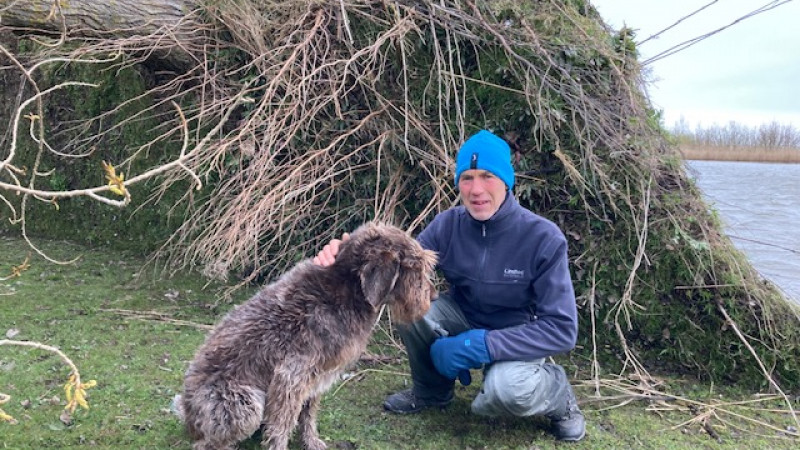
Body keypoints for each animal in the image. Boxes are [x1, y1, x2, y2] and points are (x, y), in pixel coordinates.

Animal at [174, 222, 438, 450]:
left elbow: (307, 416)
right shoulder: (291, 376)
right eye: (415, 268)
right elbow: (282, 426)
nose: (434, 296)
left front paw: (310, 442)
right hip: (245, 406)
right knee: (205, 444)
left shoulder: (315, 376)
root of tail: (188, 415)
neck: (347, 289)